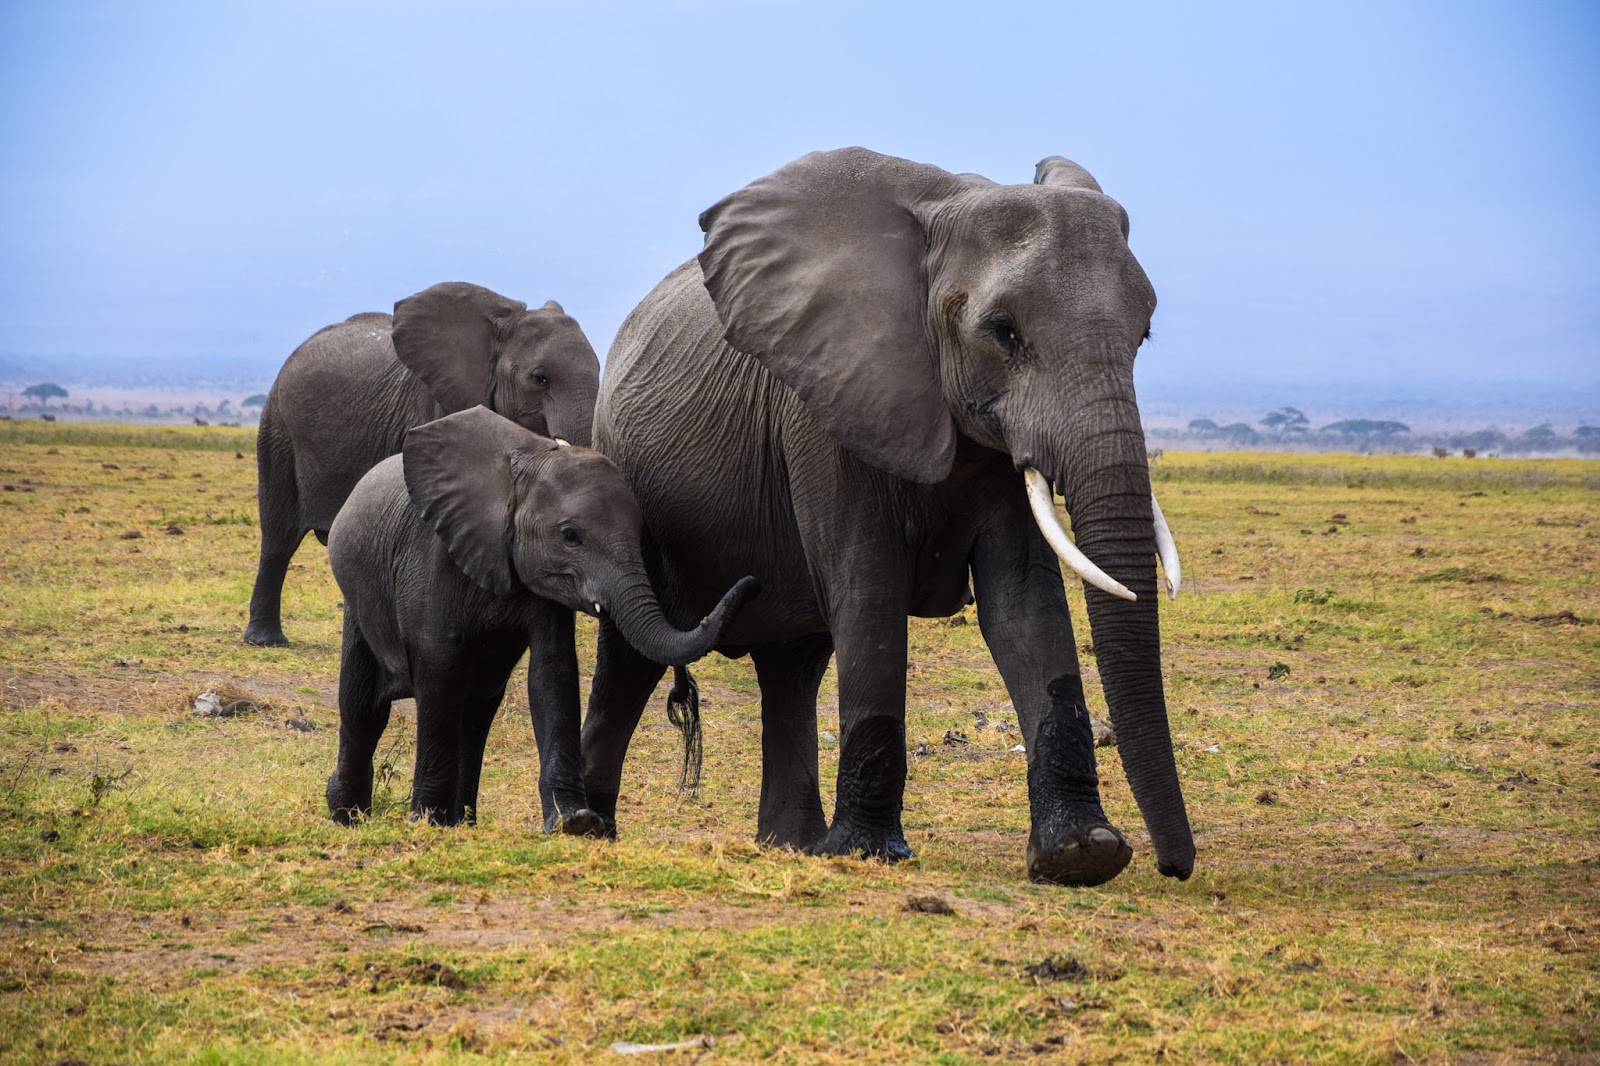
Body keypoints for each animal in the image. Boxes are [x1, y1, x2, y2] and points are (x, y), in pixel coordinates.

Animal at [324, 405, 758, 829]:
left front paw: (575, 821)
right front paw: (426, 821)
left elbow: (552, 671)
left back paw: (461, 823)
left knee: (476, 711)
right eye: (570, 536)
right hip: (358, 597)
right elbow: (441, 666)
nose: (753, 582)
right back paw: (348, 816)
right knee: (364, 707)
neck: (524, 466)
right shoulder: (432, 557)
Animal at [581, 147, 1192, 887]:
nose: (1175, 866)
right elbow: (868, 588)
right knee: (631, 658)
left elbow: (1023, 605)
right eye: (1004, 332)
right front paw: (870, 854)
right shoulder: (824, 406)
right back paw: (584, 827)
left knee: (793, 667)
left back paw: (792, 845)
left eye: (1144, 332)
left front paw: (1083, 855)